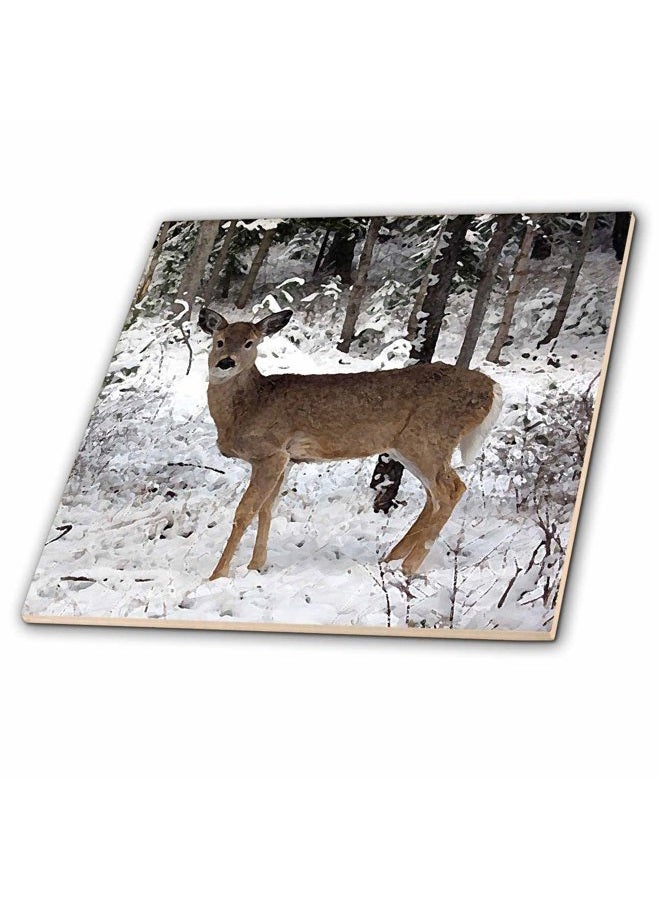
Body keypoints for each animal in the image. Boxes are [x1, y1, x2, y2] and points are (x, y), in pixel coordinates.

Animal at [198, 306, 503, 580]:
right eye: (219, 340)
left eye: (250, 343)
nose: (225, 362)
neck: (248, 406)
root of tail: (492, 388)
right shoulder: (286, 459)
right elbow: (266, 508)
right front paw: (256, 566)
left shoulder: (270, 452)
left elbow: (244, 511)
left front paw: (217, 575)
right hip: (412, 447)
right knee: (435, 496)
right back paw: (392, 558)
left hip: (427, 438)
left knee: (451, 490)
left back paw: (408, 566)